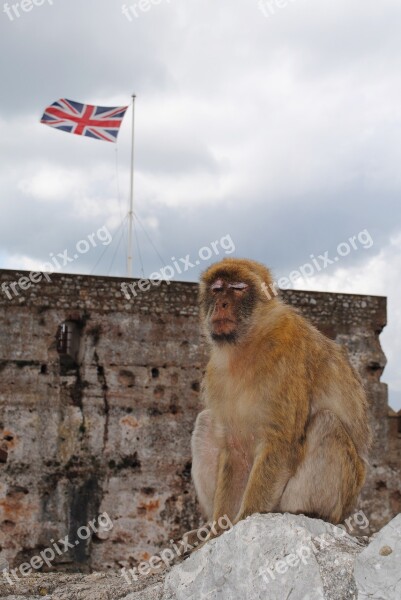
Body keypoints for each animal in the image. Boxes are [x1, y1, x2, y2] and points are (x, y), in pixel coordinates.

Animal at [191, 255, 372, 536]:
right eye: (217, 289)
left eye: (238, 289)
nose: (222, 304)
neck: (247, 343)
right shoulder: (217, 374)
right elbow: (235, 449)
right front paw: (217, 532)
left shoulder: (286, 357)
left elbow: (281, 443)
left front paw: (246, 519)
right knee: (205, 421)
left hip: (343, 495)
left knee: (327, 423)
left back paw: (308, 513)